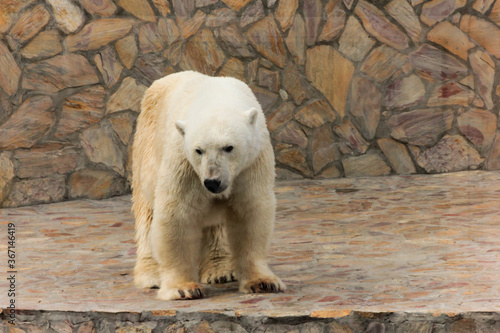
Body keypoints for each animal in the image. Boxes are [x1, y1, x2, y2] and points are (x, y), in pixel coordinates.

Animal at [131, 71, 286, 300]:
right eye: (199, 150)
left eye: (229, 147)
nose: (212, 182)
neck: (216, 97)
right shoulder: (183, 163)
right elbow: (177, 214)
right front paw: (183, 288)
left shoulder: (252, 163)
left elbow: (250, 212)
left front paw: (263, 282)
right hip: (146, 148)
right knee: (147, 214)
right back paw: (151, 275)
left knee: (215, 227)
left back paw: (220, 270)